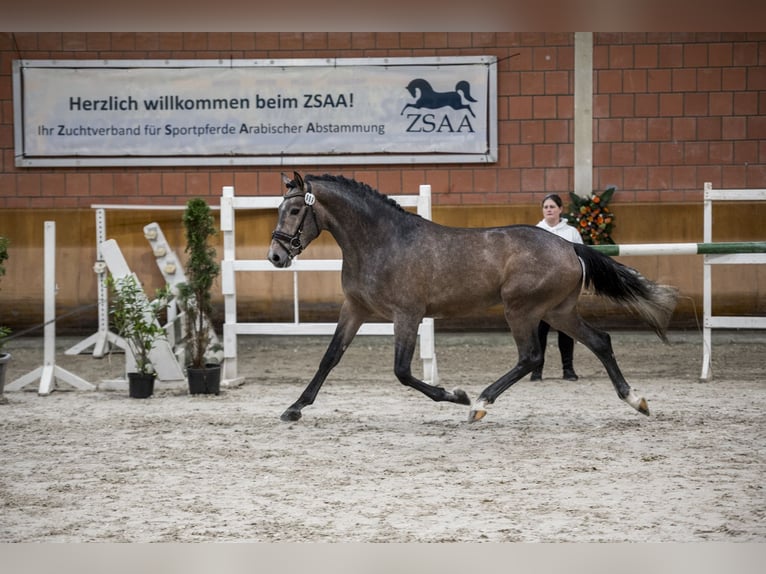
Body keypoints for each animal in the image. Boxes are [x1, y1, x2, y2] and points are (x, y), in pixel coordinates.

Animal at [268, 173, 680, 426]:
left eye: (295, 209)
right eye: (280, 209)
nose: (275, 256)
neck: (381, 241)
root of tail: (569, 246)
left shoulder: (408, 315)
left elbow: (403, 372)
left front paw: (457, 395)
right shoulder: (355, 308)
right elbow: (330, 357)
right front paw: (294, 408)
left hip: (522, 309)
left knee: (532, 356)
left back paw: (479, 404)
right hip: (557, 311)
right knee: (599, 341)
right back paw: (636, 400)